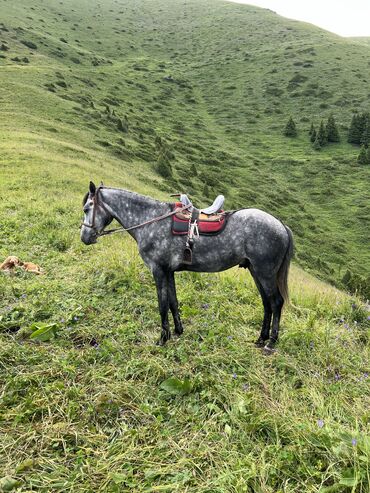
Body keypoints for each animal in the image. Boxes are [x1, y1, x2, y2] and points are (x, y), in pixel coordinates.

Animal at [80, 183, 292, 352]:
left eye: (86, 208)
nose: (84, 237)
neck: (152, 220)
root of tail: (282, 226)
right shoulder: (168, 271)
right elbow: (173, 302)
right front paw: (177, 331)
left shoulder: (158, 270)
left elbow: (162, 304)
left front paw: (162, 339)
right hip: (256, 272)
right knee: (266, 303)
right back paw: (261, 339)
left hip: (265, 273)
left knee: (276, 302)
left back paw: (271, 342)